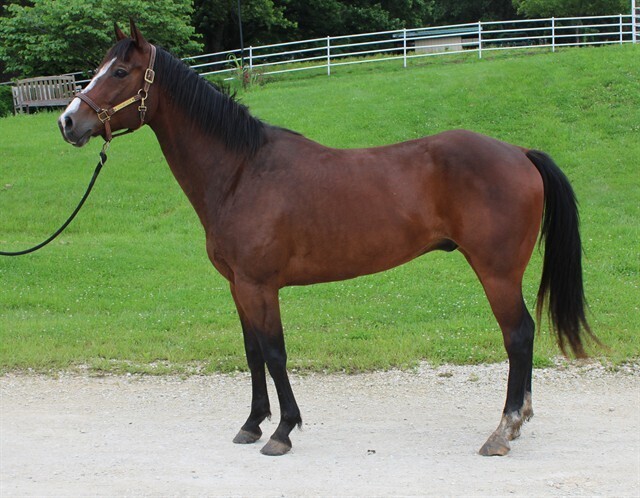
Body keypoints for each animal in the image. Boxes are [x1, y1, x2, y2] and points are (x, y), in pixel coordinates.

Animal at [58, 20, 593, 457]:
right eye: (100, 68)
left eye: (120, 72)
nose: (67, 122)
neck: (242, 171)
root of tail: (520, 153)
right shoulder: (238, 286)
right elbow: (252, 353)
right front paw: (252, 423)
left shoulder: (260, 286)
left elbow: (275, 352)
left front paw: (282, 431)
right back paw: (517, 424)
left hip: (497, 272)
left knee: (518, 335)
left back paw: (503, 430)